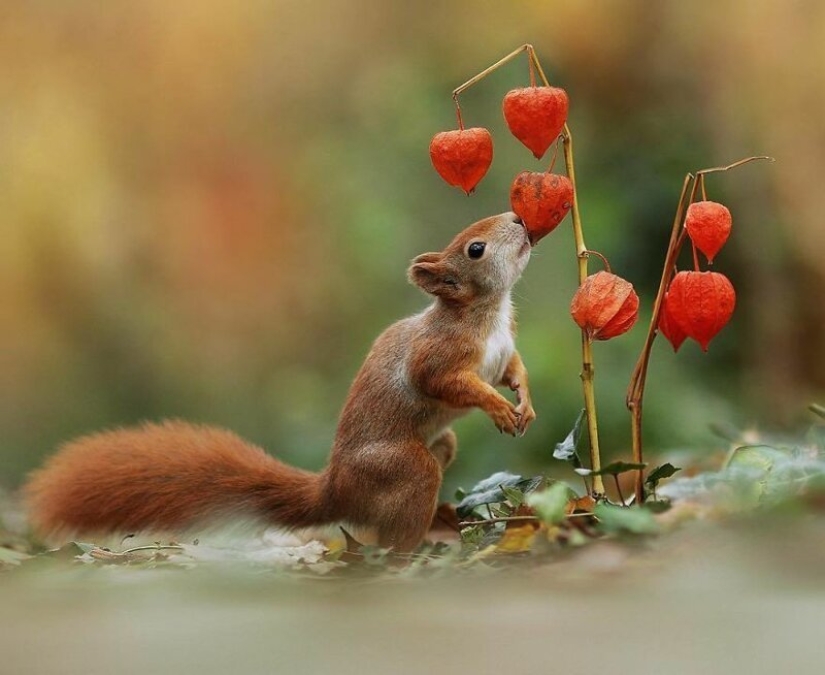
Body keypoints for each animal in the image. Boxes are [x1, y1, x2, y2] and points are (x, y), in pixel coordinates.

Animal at [24, 213, 536, 556]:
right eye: (475, 249)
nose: (517, 216)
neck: (487, 313)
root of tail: (334, 491)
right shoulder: (436, 355)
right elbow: (444, 382)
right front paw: (496, 407)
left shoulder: (505, 347)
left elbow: (513, 370)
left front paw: (524, 404)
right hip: (402, 468)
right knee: (395, 527)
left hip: (439, 446)